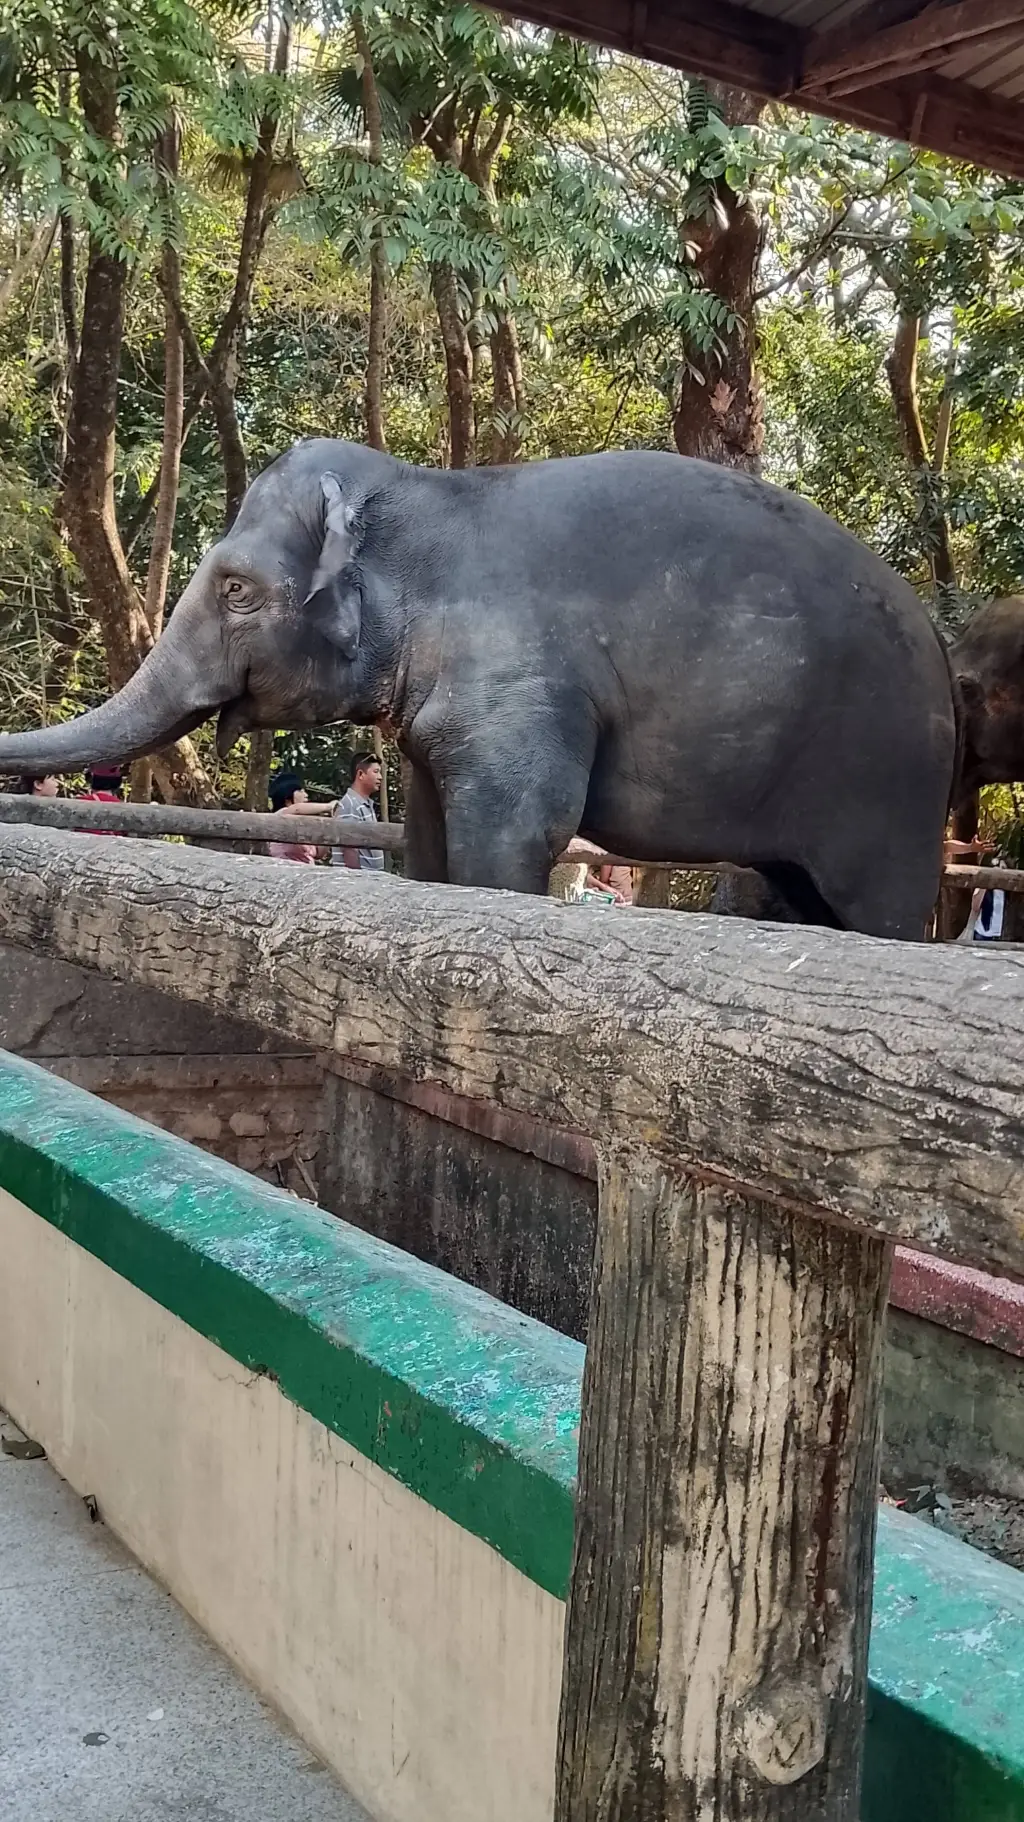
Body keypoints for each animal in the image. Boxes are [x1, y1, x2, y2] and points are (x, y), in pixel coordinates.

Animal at [0, 438, 958, 938]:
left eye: (235, 588)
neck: (427, 493)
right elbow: (428, 852)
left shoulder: (520, 684)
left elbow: (510, 845)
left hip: (888, 781)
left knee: (878, 914)